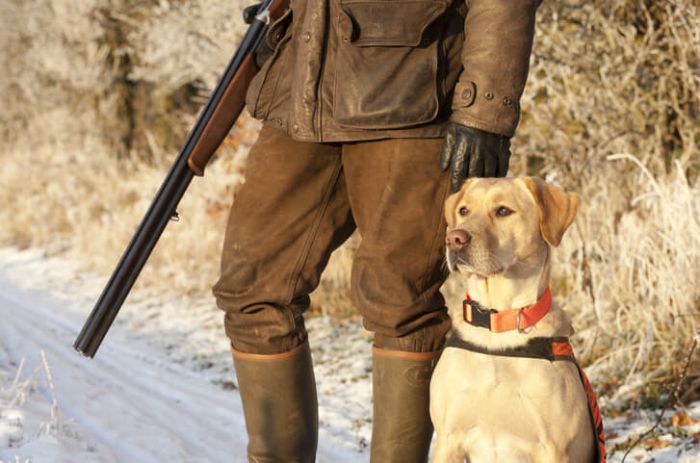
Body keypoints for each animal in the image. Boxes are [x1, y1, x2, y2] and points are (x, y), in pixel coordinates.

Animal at [430, 179, 604, 463]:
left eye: (503, 211)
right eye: (464, 210)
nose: (454, 239)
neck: (497, 325)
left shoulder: (554, 448)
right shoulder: (448, 439)